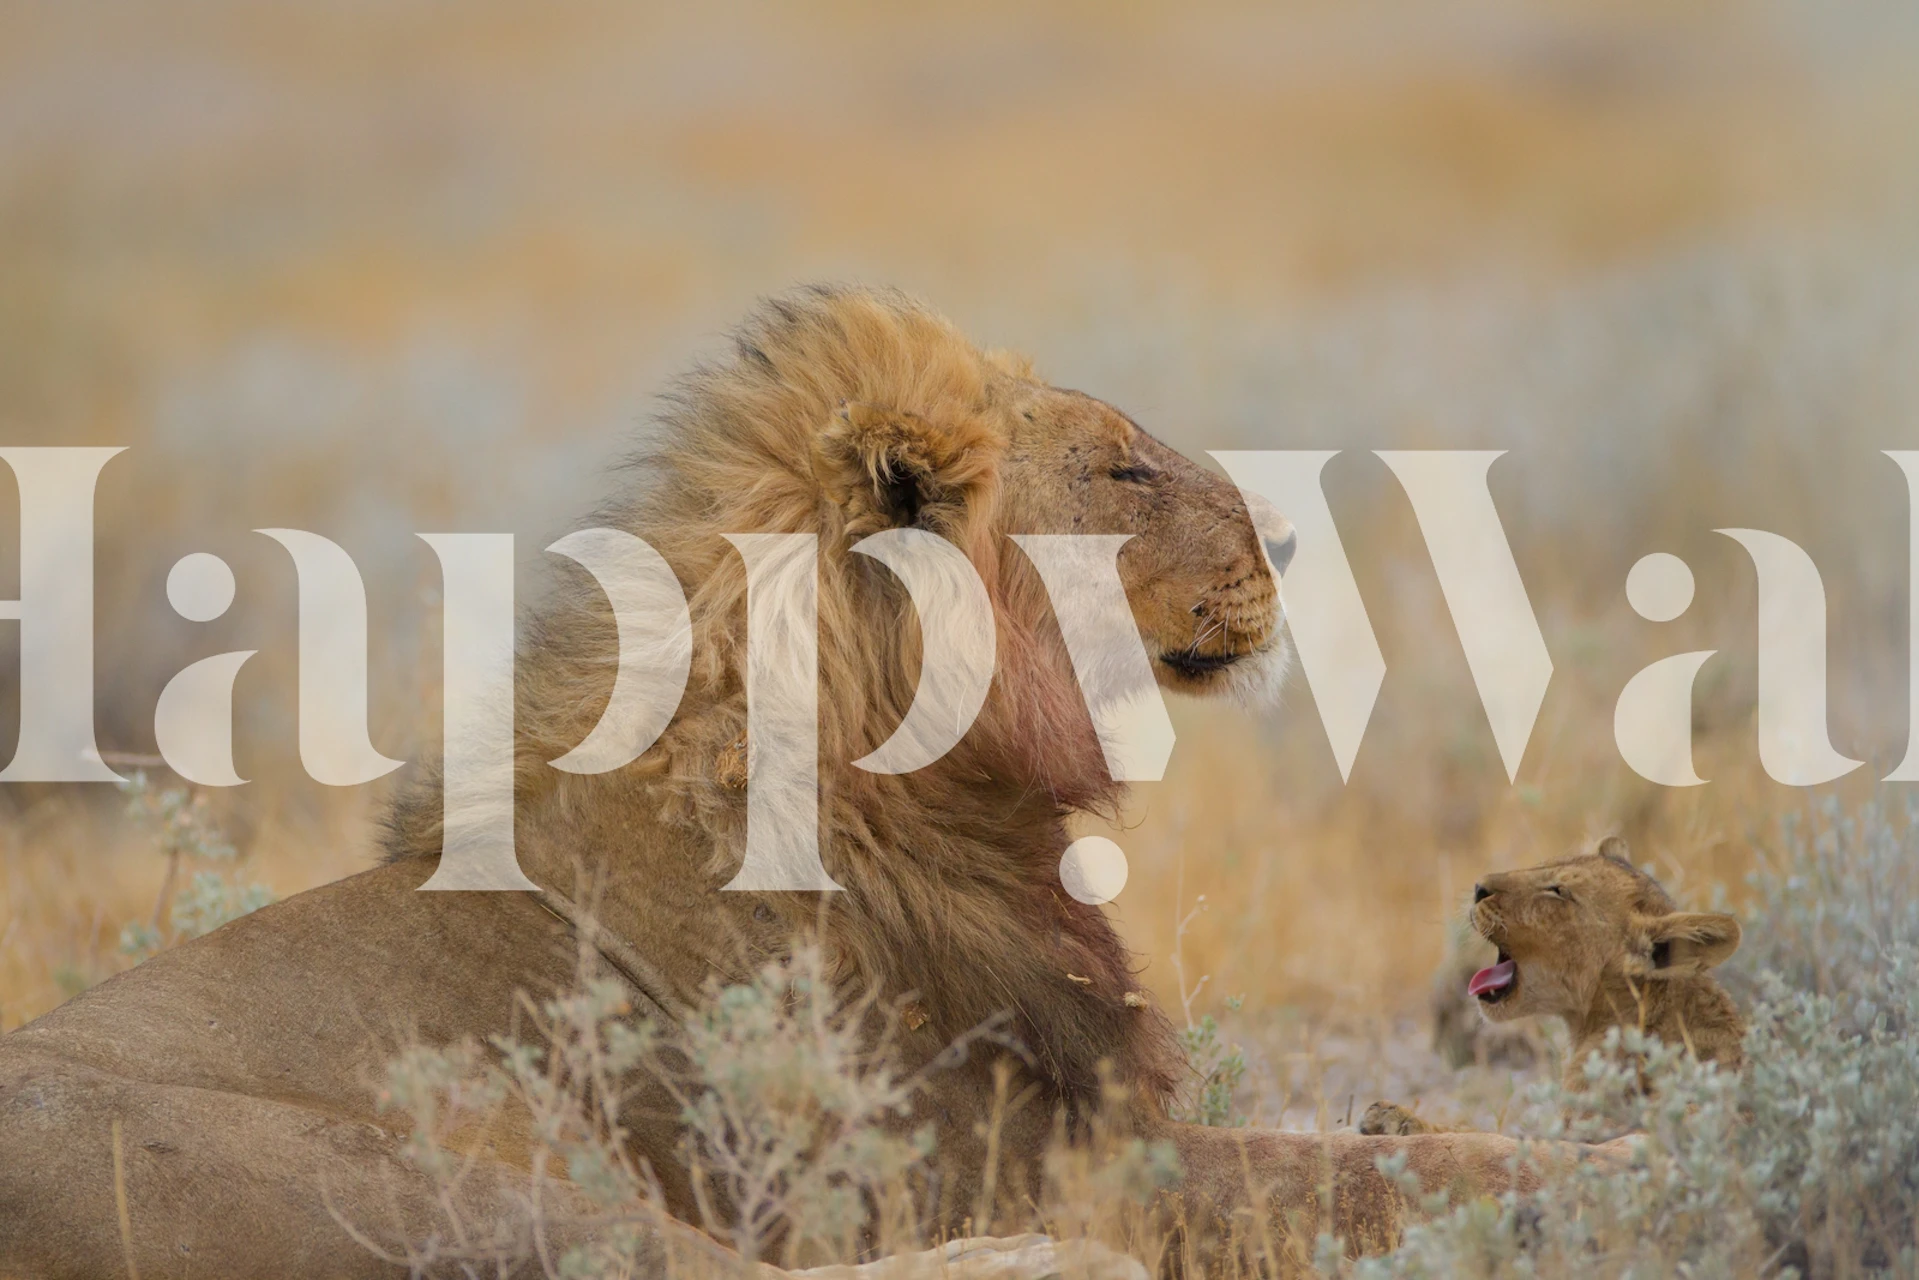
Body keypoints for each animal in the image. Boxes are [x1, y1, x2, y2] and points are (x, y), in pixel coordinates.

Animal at [1, 286, 1581, 1278]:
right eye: (1122, 470)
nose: (1289, 540)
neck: (928, 791)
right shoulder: (1011, 1152)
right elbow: (1350, 1177)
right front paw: (1588, 1162)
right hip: (460, 1182)